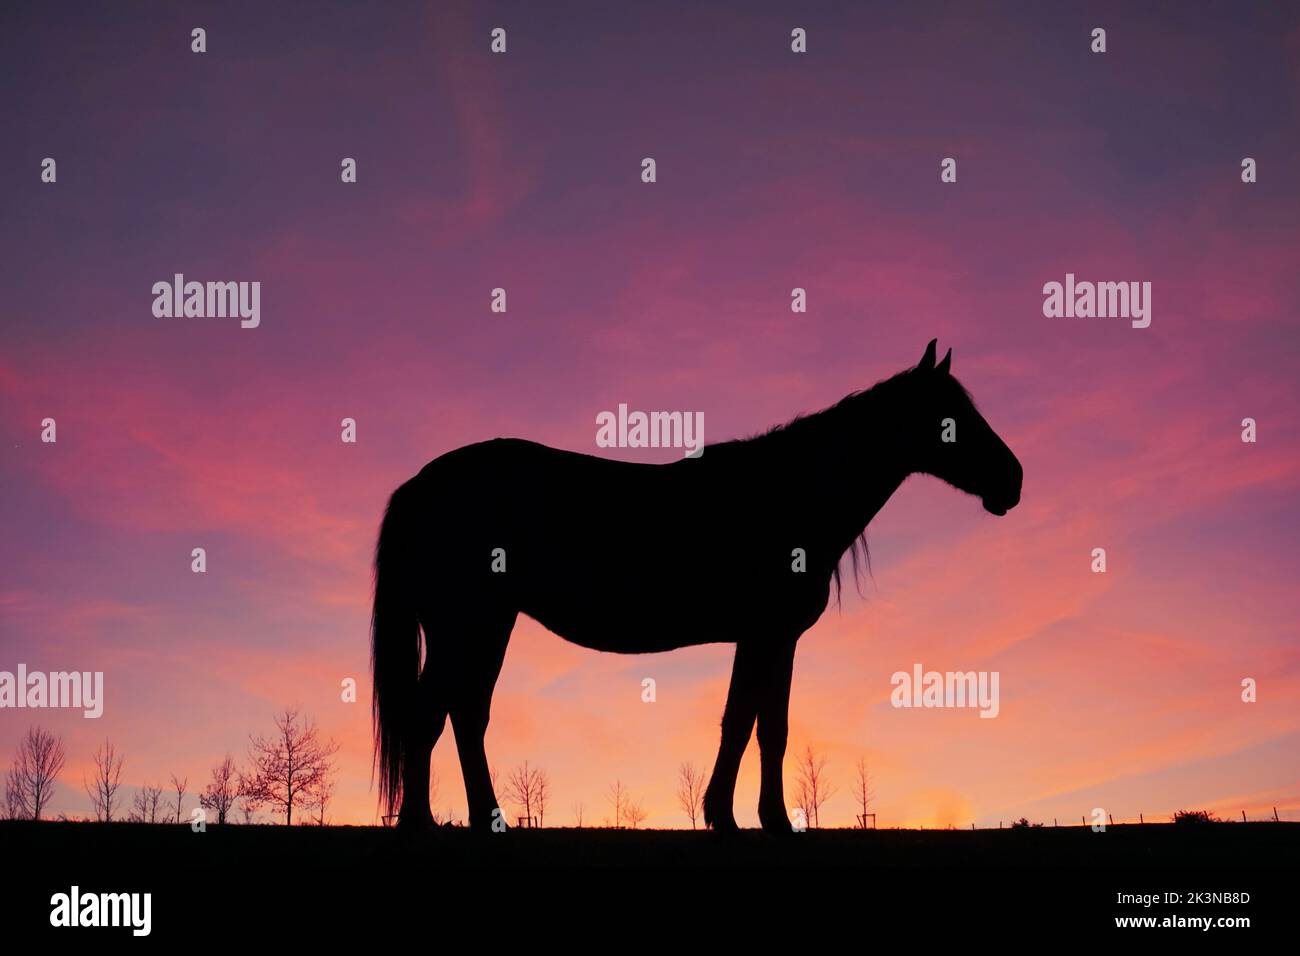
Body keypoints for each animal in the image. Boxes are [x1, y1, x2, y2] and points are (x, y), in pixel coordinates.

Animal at [371, 339, 1022, 833]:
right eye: (952, 419)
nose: (1013, 481)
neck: (791, 495)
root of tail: (418, 485)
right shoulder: (767, 635)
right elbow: (751, 724)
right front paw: (748, 819)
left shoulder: (772, 639)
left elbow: (761, 726)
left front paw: (749, 818)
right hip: (469, 625)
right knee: (435, 714)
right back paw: (424, 824)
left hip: (484, 627)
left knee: (464, 713)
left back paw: (484, 820)